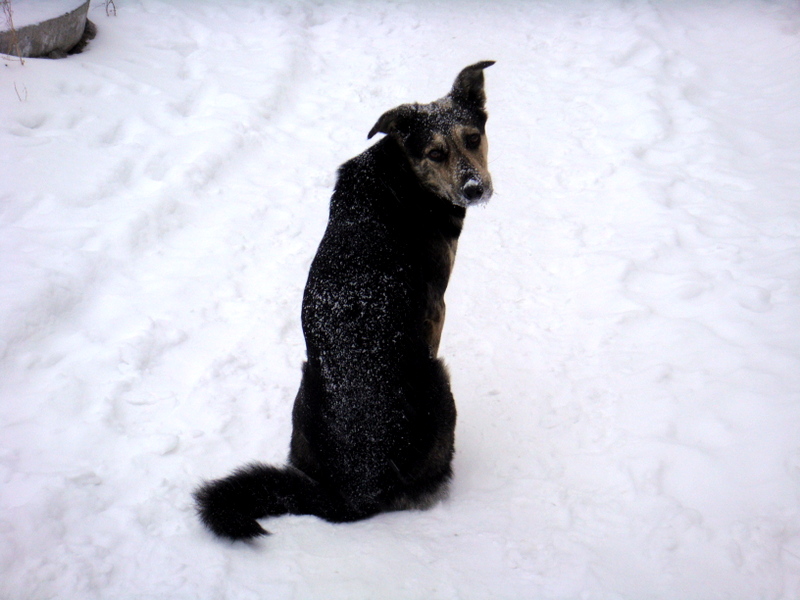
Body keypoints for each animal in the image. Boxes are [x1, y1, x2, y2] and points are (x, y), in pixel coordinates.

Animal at [194, 63, 494, 540]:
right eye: (435, 152)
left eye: (472, 138)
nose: (473, 188)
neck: (401, 172)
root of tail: (355, 488)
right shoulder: (436, 312)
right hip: (439, 383)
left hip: (304, 390)